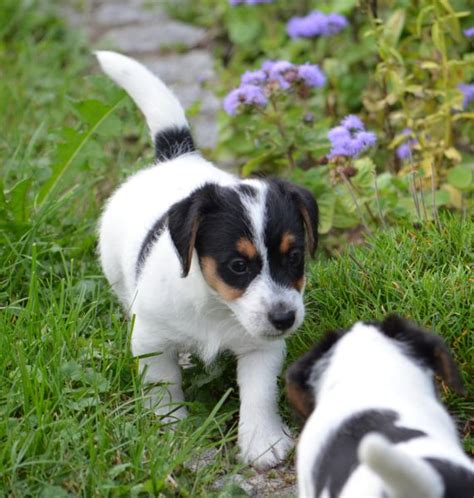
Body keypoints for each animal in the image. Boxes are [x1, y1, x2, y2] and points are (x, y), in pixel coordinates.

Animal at [95, 50, 318, 466]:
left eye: (294, 256)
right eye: (238, 266)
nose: (284, 319)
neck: (216, 306)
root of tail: (176, 158)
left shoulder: (262, 348)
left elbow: (259, 393)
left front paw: (262, 441)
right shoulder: (151, 341)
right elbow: (162, 389)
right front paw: (171, 432)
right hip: (116, 273)